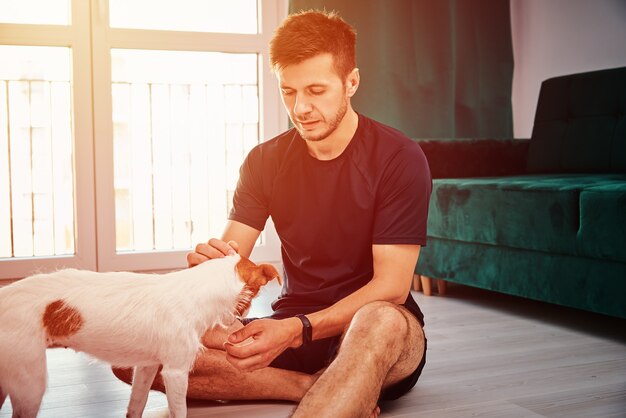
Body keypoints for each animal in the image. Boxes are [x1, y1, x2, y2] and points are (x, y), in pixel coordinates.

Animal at [0, 253, 278, 416]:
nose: (239, 319)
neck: (194, 290)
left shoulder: (146, 367)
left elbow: (136, 404)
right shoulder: (175, 372)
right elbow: (180, 411)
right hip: (29, 382)